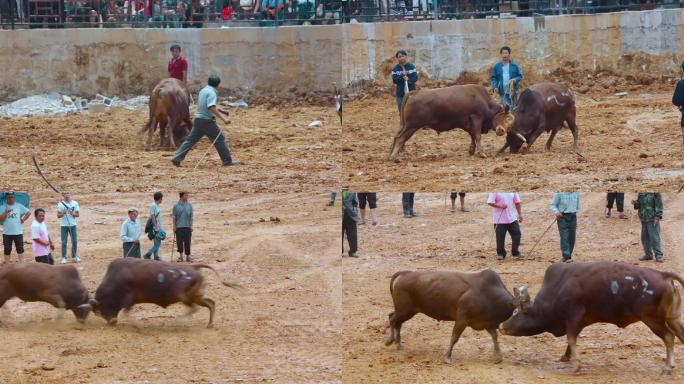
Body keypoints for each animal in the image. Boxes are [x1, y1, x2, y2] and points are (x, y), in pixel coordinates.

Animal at [89, 258, 242, 328]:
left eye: (99, 309)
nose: (112, 322)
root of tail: (193, 267)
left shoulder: (128, 299)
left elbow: (126, 313)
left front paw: (137, 325)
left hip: (185, 297)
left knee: (195, 308)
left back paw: (178, 321)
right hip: (196, 296)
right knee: (210, 303)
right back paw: (209, 324)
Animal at [388, 84, 516, 160]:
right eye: (506, 117)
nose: (502, 130)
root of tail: (413, 93)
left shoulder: (469, 124)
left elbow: (472, 136)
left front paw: (472, 150)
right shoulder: (476, 118)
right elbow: (477, 136)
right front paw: (482, 153)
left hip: (405, 125)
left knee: (395, 136)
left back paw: (391, 153)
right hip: (412, 126)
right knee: (400, 138)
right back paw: (393, 157)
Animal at [388, 270, 516, 364]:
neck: (489, 294)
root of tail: (405, 273)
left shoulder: (486, 323)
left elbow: (494, 337)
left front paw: (497, 357)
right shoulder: (462, 319)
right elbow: (454, 337)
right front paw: (447, 356)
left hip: (405, 311)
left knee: (395, 320)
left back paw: (398, 343)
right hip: (404, 310)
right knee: (393, 319)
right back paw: (390, 340)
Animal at [500, 262, 684, 374]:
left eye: (516, 313)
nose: (502, 326)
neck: (557, 289)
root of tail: (662, 275)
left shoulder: (573, 316)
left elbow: (571, 338)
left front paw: (577, 364)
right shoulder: (579, 322)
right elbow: (571, 340)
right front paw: (566, 357)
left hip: (653, 320)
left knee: (669, 337)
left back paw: (668, 367)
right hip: (672, 318)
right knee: (680, 334)